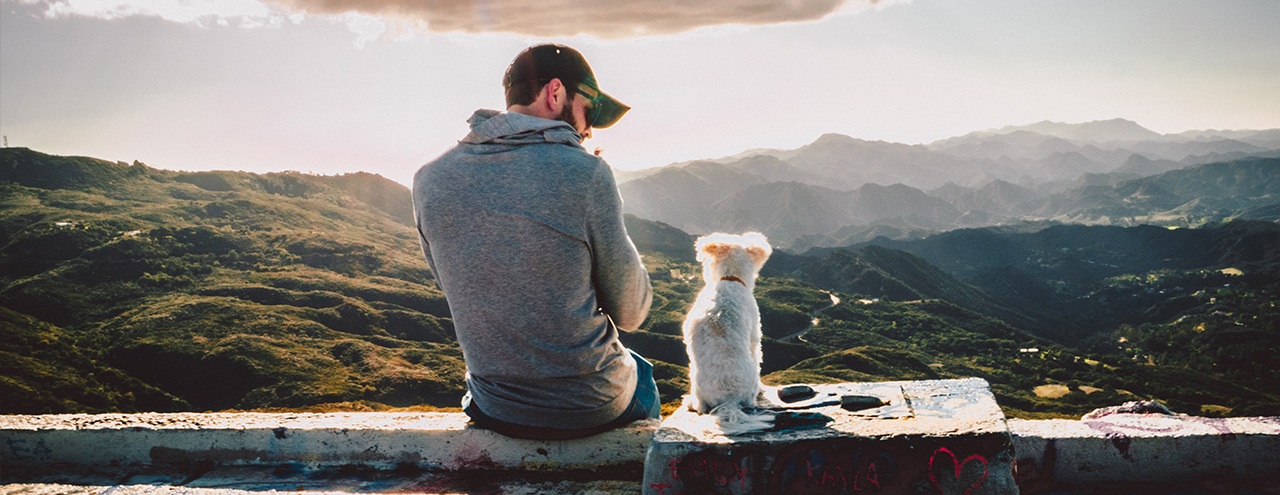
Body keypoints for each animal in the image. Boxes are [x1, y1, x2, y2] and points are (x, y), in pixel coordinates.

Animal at [686, 231, 773, 434]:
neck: (729, 279)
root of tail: (729, 401)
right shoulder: (754, 336)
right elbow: (758, 353)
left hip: (695, 378)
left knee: (701, 407)